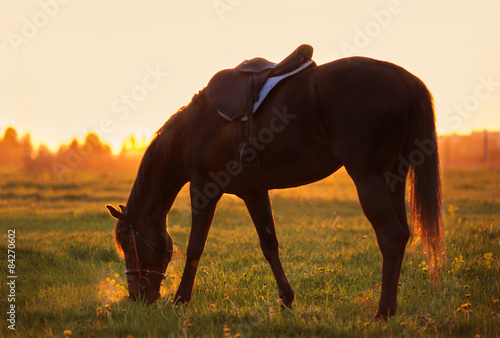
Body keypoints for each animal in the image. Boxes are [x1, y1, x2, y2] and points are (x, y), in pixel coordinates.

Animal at [106, 55, 442, 320]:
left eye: (127, 244)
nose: (137, 297)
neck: (193, 130)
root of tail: (404, 78)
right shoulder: (253, 192)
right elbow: (269, 245)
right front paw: (287, 299)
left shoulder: (204, 188)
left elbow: (194, 246)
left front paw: (180, 299)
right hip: (394, 177)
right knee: (402, 234)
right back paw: (391, 309)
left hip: (367, 177)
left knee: (390, 235)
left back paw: (383, 313)